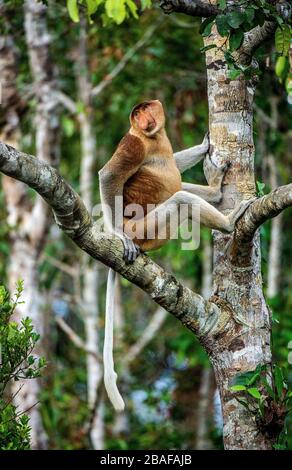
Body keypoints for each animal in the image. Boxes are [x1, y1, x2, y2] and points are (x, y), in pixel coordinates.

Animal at [99, 100, 252, 412]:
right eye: (137, 114)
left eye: (145, 110)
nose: (143, 121)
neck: (152, 138)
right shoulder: (133, 144)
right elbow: (108, 176)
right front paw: (117, 235)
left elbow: (175, 162)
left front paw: (204, 145)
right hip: (147, 228)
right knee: (181, 199)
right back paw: (228, 221)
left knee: (180, 187)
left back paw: (215, 192)